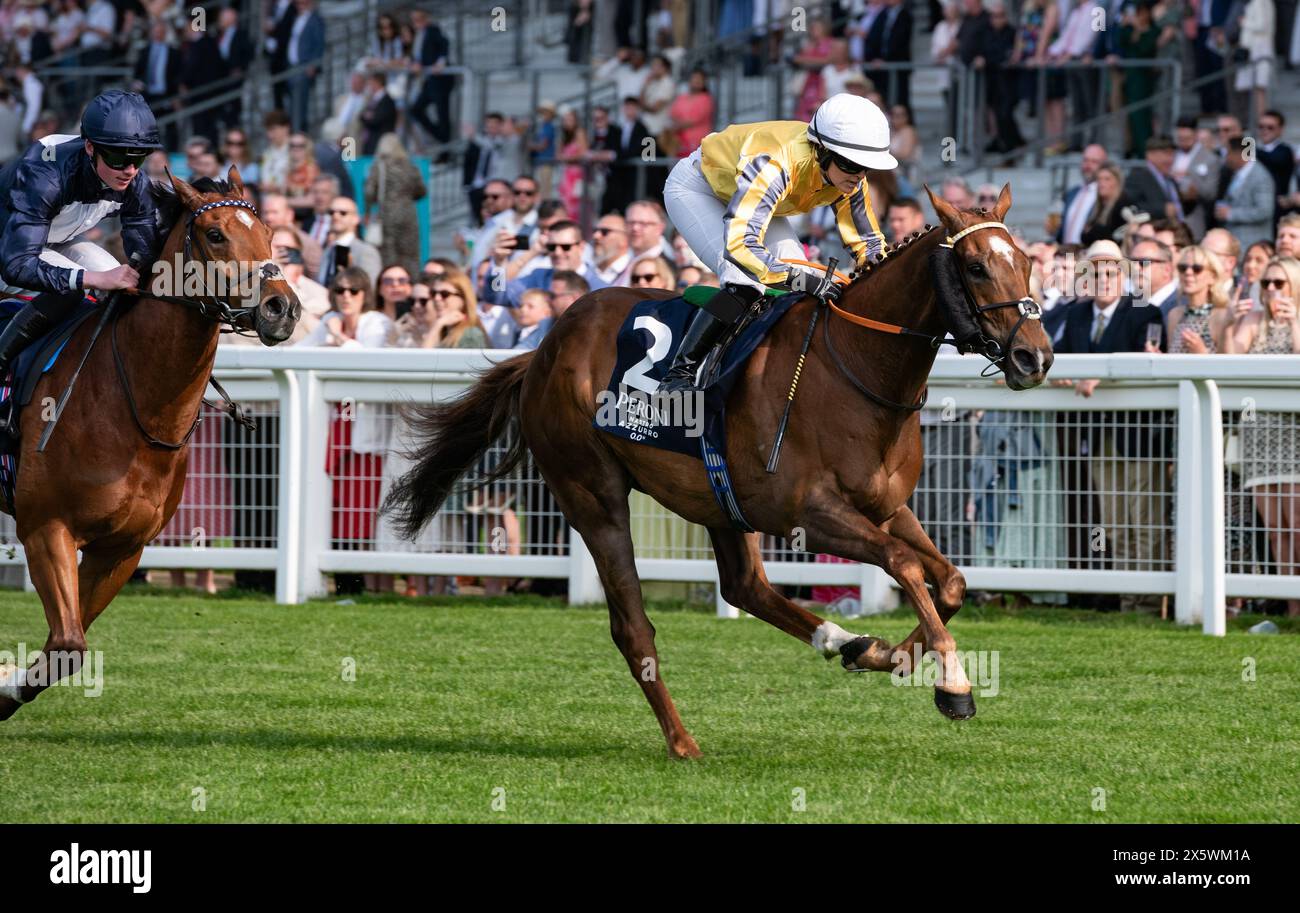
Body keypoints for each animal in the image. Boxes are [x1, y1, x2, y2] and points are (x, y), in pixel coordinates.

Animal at [0, 166, 297, 723]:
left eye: (270, 233)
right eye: (215, 234)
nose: (282, 307)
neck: (131, 400)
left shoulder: (123, 547)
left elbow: (62, 646)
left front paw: (5, 687)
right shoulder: (46, 527)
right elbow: (69, 642)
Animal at [382, 184, 1045, 759]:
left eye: (1028, 263)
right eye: (977, 268)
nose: (1034, 356)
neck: (855, 370)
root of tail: (544, 348)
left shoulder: (884, 506)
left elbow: (950, 580)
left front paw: (888, 654)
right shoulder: (807, 513)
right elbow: (906, 566)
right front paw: (952, 683)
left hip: (720, 499)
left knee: (744, 587)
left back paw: (843, 640)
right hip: (592, 493)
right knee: (634, 628)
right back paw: (683, 743)